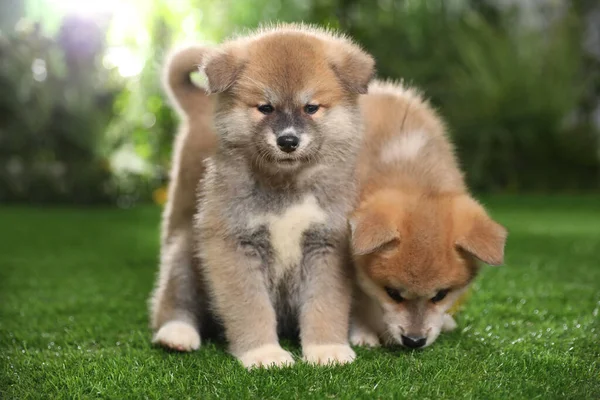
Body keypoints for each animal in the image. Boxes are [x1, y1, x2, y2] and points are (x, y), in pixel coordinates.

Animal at [150, 24, 376, 368]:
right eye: (265, 107)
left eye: (311, 108)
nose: (288, 141)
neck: (286, 188)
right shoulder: (234, 245)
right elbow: (251, 308)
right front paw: (264, 353)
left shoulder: (326, 245)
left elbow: (325, 305)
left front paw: (327, 347)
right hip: (185, 249)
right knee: (174, 296)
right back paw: (177, 333)